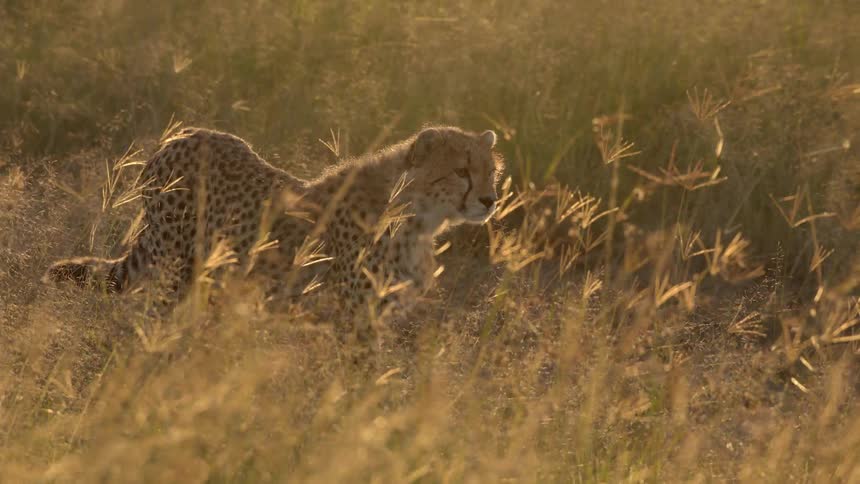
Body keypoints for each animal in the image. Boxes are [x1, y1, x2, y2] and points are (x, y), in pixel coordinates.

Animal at [45, 125, 503, 319]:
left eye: (491, 171)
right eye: (462, 170)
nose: (489, 200)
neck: (416, 217)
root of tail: (182, 135)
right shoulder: (350, 318)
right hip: (172, 271)